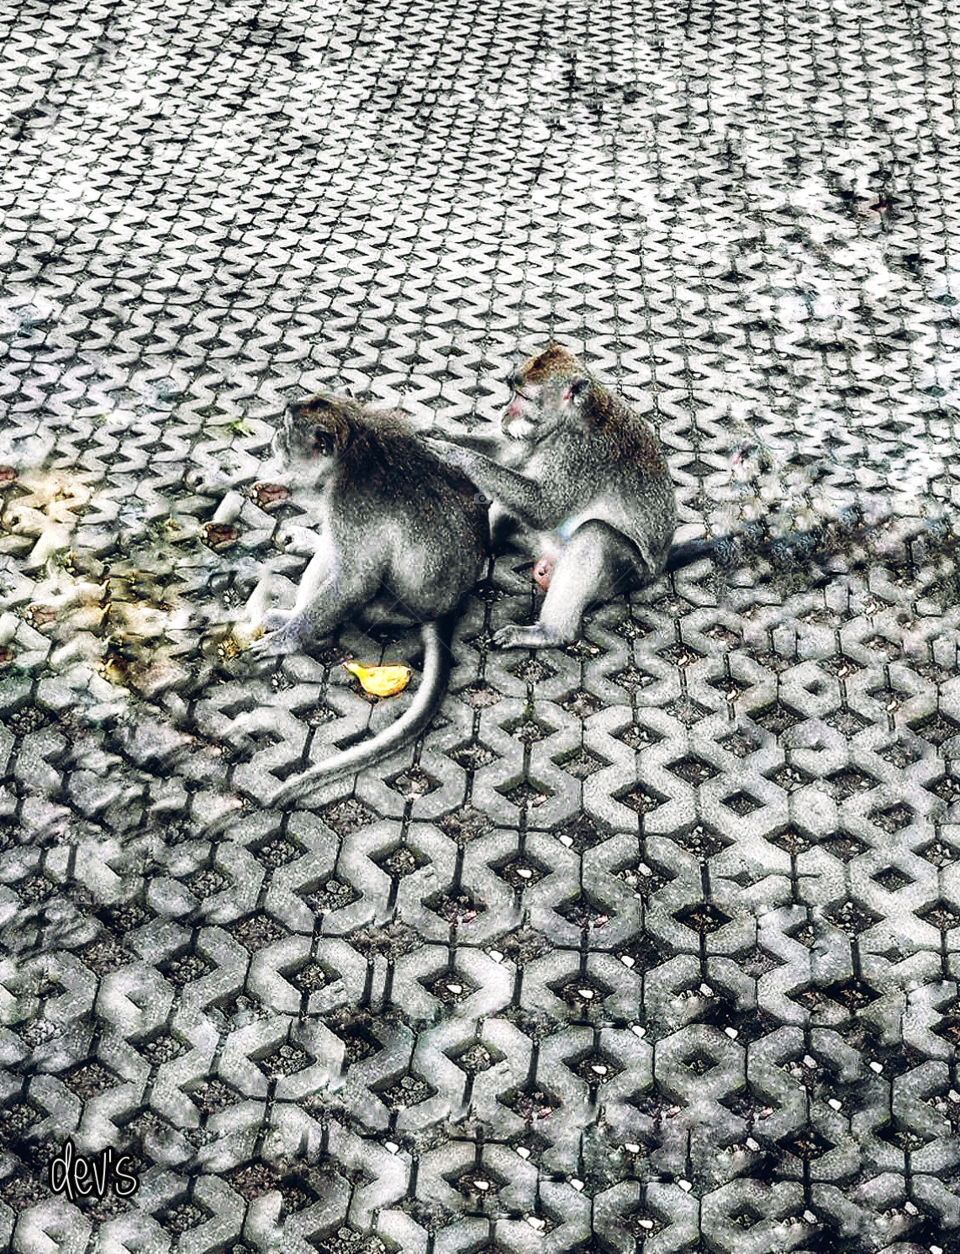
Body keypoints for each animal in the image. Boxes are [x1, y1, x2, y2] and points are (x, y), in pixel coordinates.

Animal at [252, 392, 489, 798]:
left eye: (285, 430)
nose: (273, 439)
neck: (353, 443)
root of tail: (447, 608)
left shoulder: (348, 505)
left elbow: (354, 581)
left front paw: (286, 639)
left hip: (389, 608)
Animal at [425, 344, 677, 649]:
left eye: (522, 397)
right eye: (511, 390)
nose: (504, 414)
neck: (565, 422)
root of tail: (659, 567)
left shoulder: (581, 453)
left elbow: (546, 509)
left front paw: (456, 455)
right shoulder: (537, 437)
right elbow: (505, 453)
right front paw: (431, 431)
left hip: (630, 576)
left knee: (597, 534)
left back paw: (551, 632)